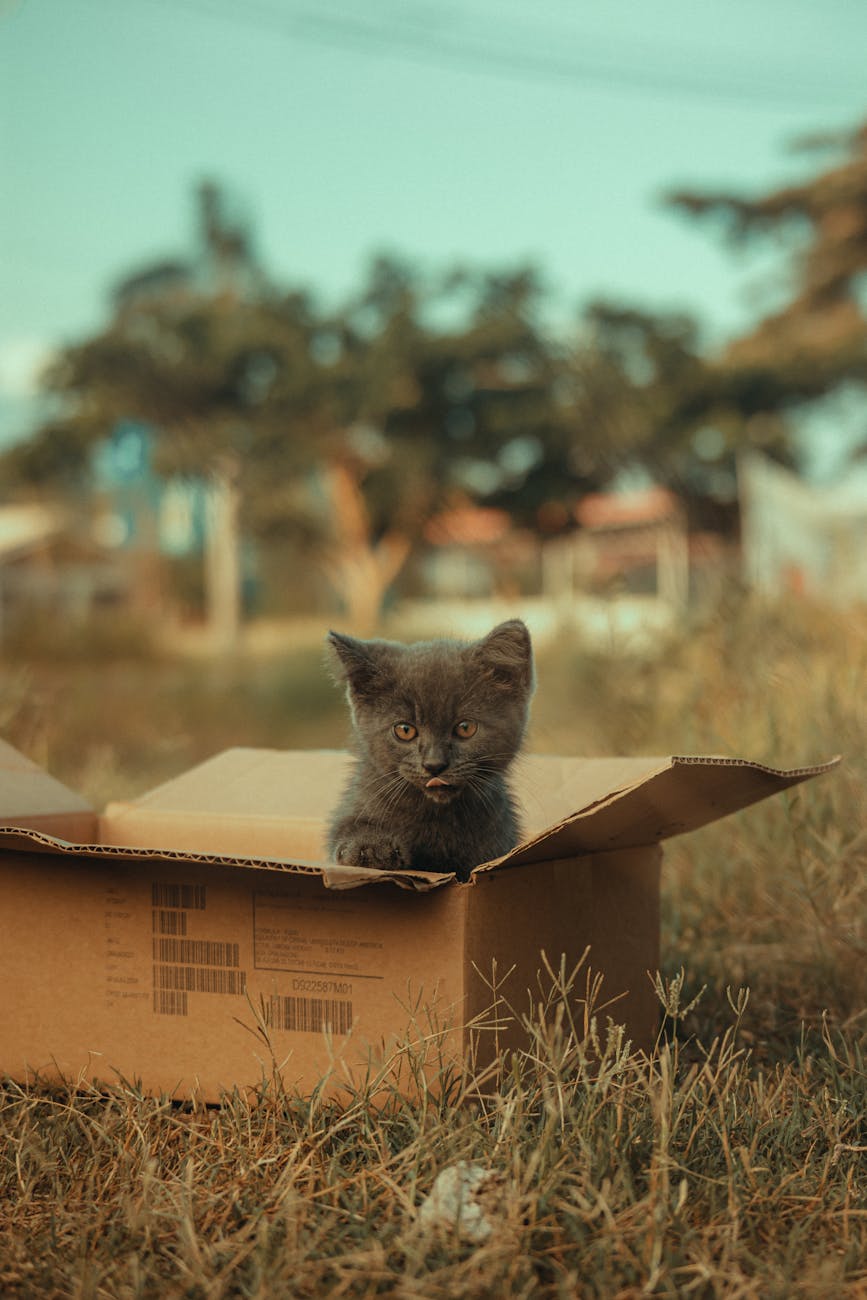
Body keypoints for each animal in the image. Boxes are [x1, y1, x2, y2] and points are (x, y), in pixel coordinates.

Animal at [327, 616, 535, 873]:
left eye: (465, 728)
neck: (435, 814)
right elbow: (348, 827)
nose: (434, 765)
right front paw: (369, 847)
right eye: (404, 730)